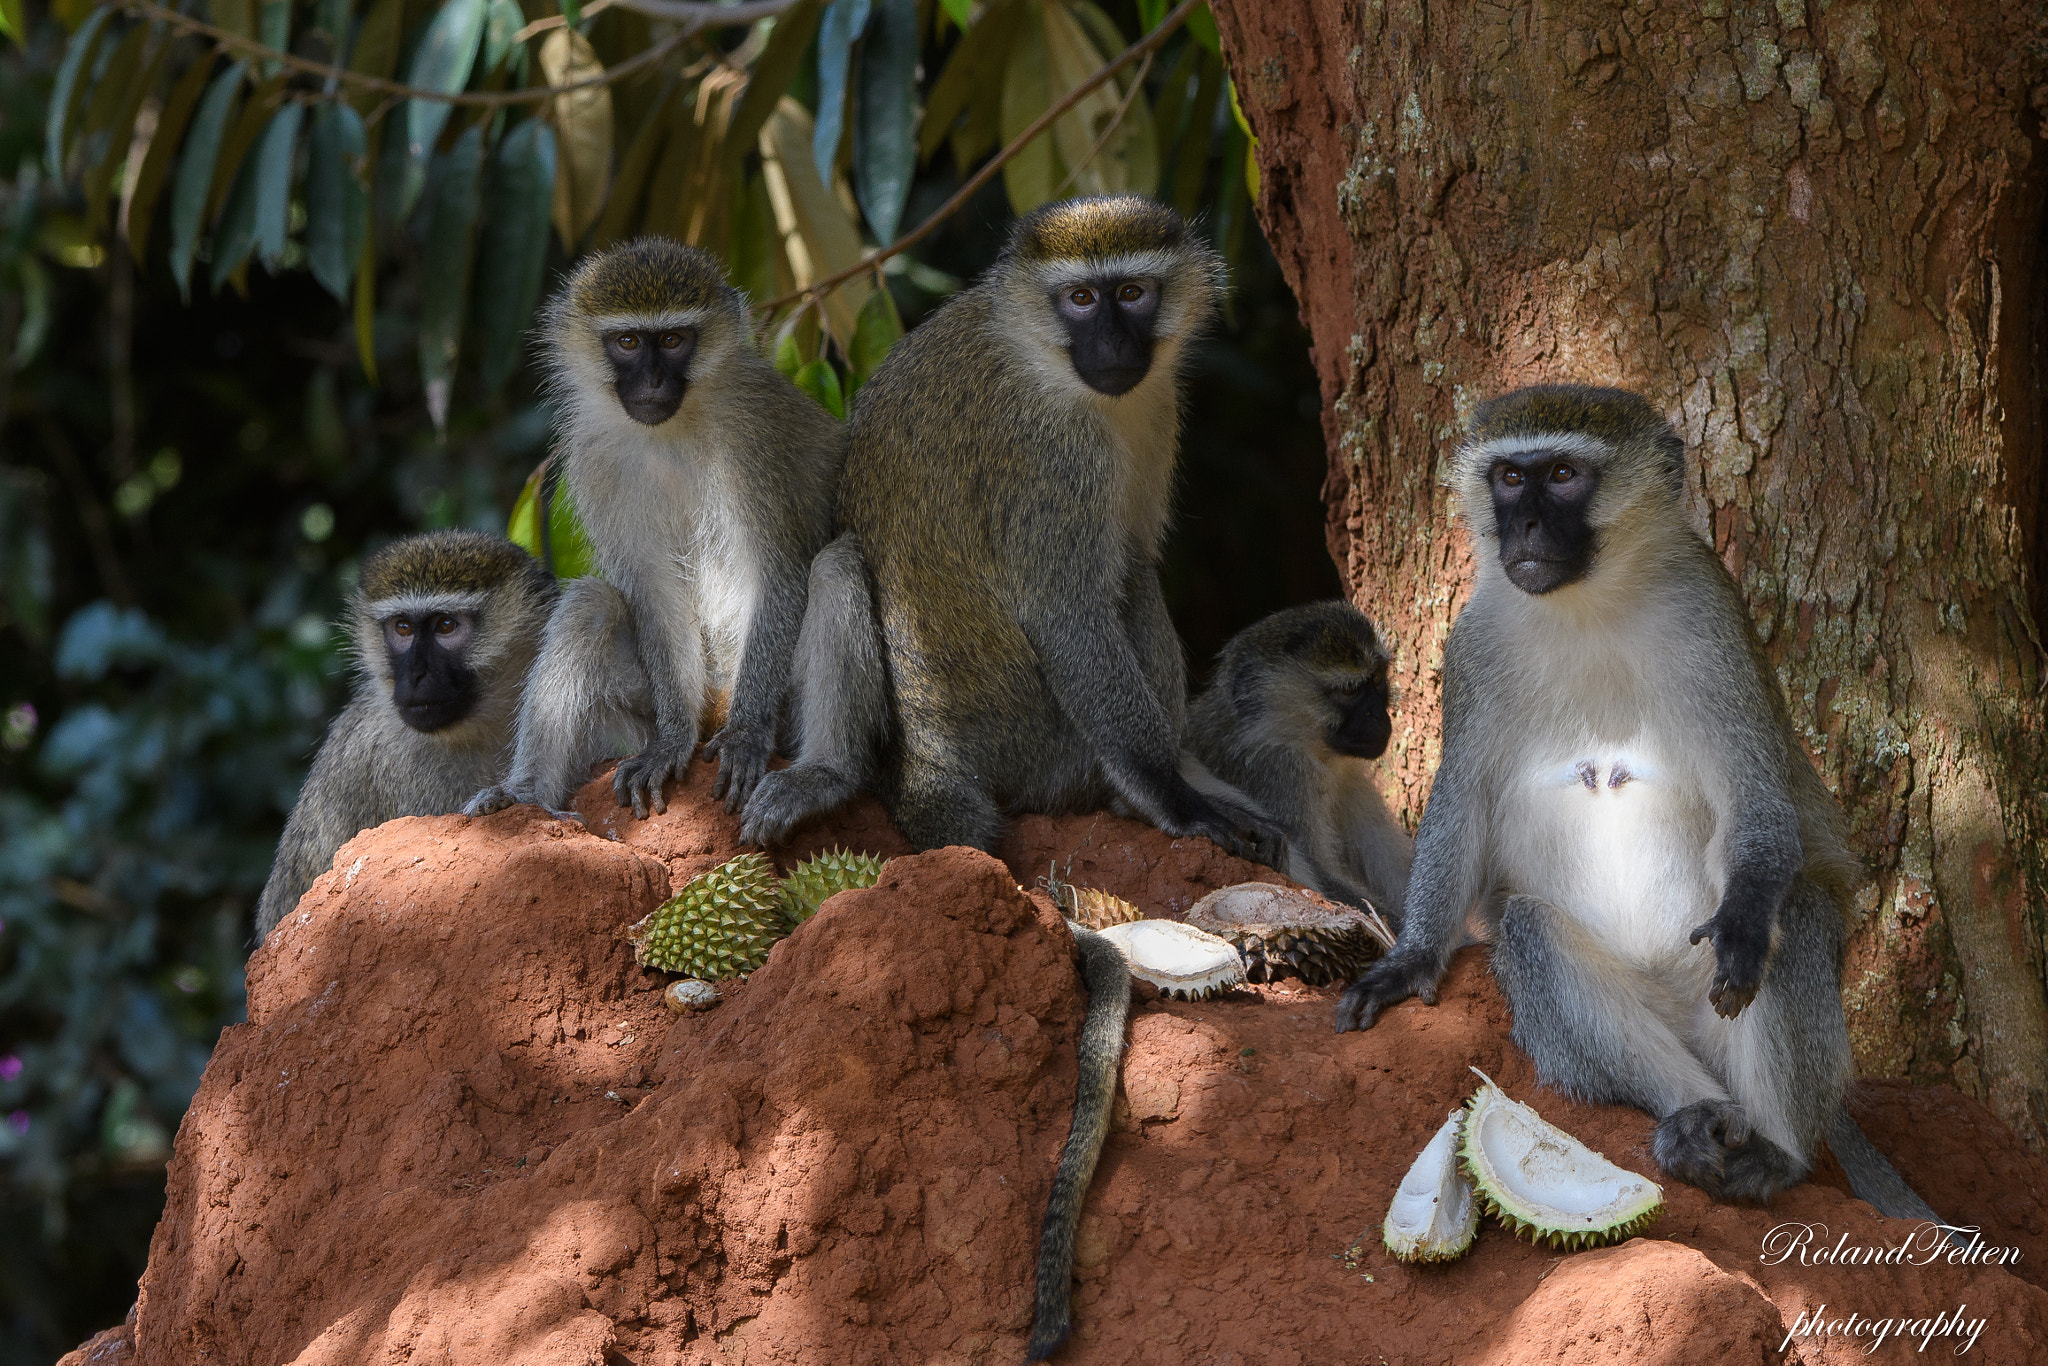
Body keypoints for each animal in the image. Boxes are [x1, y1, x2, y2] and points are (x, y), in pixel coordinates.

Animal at [737, 194, 1277, 864]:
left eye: (1131, 293)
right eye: (1080, 299)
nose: (1113, 343)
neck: (1038, 350)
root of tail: (931, 763)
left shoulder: (1157, 406)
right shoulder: (1055, 451)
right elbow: (1067, 615)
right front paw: (1172, 796)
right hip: (1040, 750)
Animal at [1335, 387, 1941, 1228]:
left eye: (1563, 476)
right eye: (1510, 478)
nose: (1525, 528)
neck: (1591, 603)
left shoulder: (1713, 623)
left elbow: (1755, 798)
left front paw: (1745, 920)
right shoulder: (1474, 647)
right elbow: (1462, 804)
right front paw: (1414, 955)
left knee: (1793, 915)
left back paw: (1773, 1154)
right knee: (1532, 935)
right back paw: (1692, 1122)